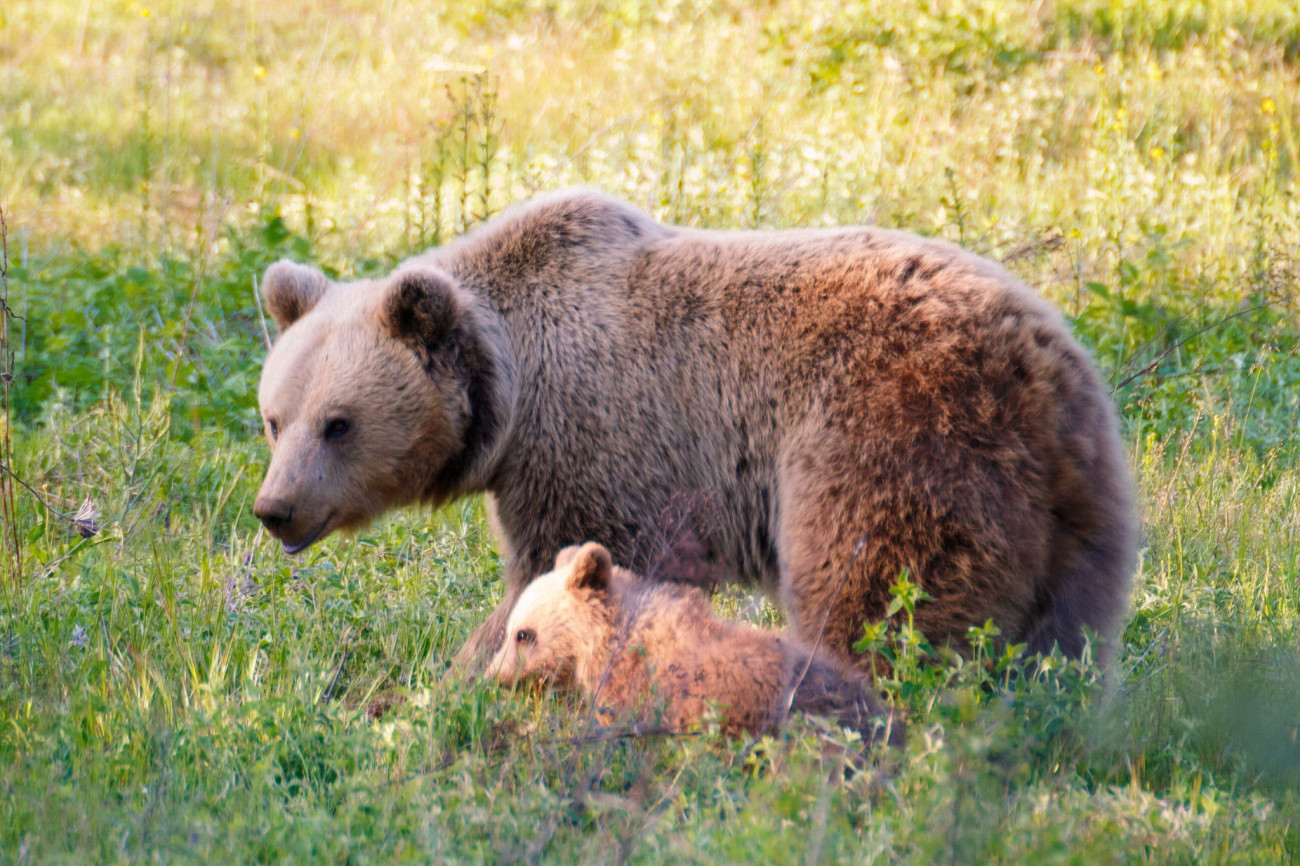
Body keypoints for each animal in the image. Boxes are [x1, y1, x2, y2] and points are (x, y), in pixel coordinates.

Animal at [253, 191, 1138, 665]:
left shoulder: (594, 438)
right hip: (1076, 504)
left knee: (879, 598)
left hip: (889, 434)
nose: (276, 509)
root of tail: (1038, 365)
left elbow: (562, 567)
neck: (512, 386)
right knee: (1067, 641)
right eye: (273, 419)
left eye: (338, 424)